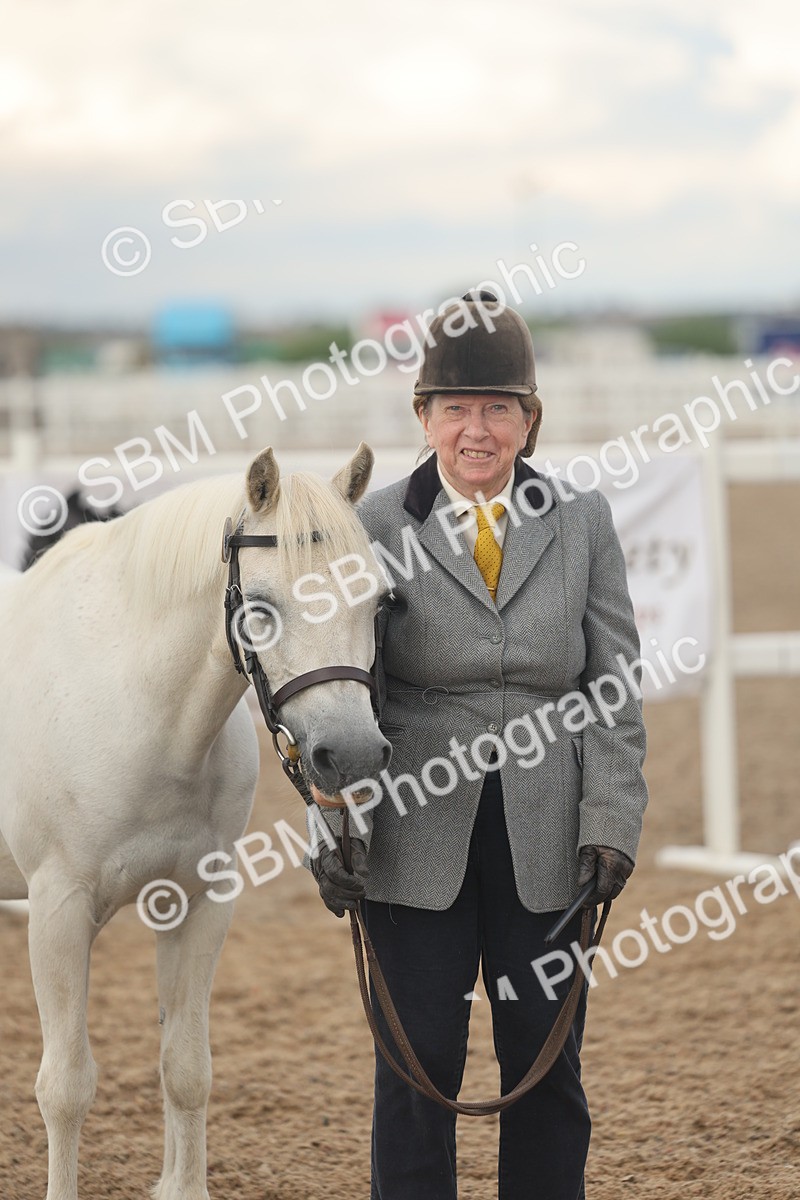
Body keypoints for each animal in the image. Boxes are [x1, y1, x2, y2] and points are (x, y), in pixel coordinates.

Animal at [0, 443, 391, 1200]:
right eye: (262, 608)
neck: (130, 703)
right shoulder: (58, 910)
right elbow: (65, 1086)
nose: (353, 754)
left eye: (379, 600)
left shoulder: (198, 901)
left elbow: (185, 1067)